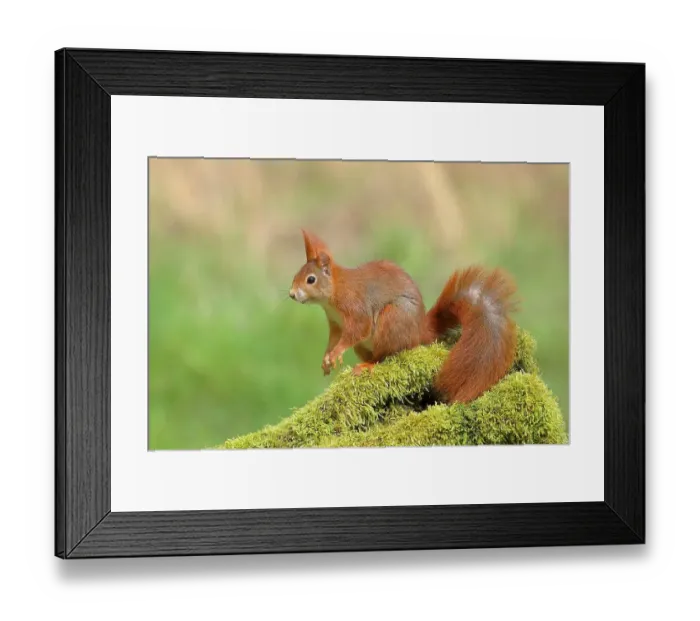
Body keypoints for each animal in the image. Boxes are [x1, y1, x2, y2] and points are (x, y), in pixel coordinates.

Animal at [288, 229, 519, 404]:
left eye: (311, 279)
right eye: (296, 275)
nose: (291, 294)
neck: (334, 291)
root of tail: (419, 331)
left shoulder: (356, 308)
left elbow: (358, 330)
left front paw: (336, 352)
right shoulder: (335, 322)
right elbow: (334, 338)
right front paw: (326, 359)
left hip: (392, 319)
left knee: (386, 355)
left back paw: (368, 365)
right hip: (365, 345)